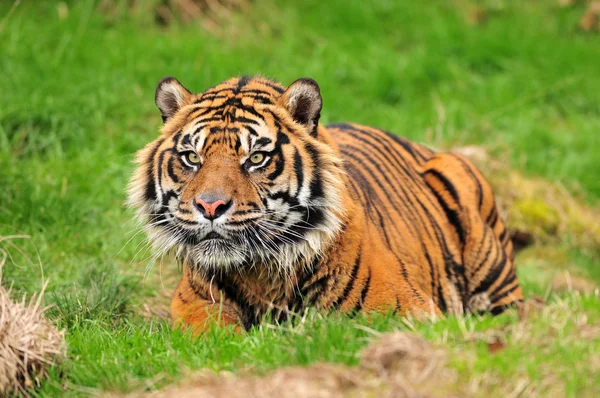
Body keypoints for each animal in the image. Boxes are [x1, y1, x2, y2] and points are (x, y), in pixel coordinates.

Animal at [129, 74, 524, 332]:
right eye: (192, 158)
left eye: (256, 158)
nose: (210, 207)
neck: (259, 274)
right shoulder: (193, 304)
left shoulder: (405, 309)